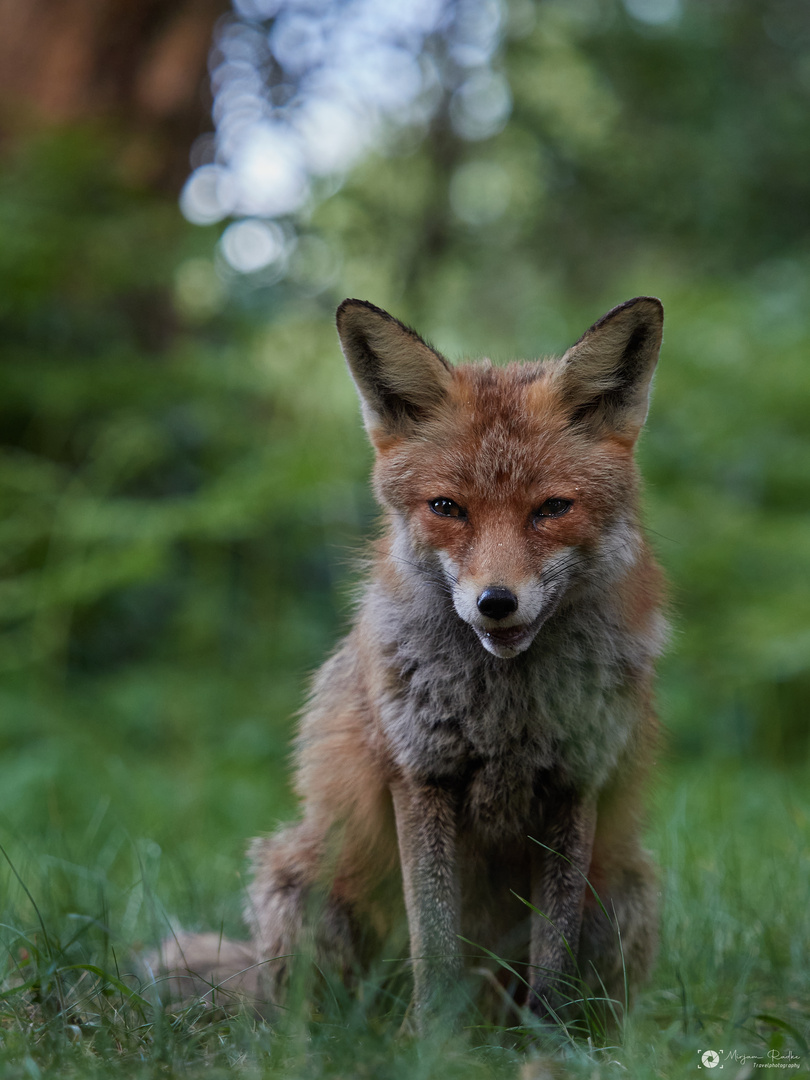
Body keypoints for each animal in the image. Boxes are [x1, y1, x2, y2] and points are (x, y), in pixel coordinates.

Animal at [151, 295, 665, 1028]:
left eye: (552, 509)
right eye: (447, 508)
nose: (496, 603)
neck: (504, 711)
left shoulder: (575, 785)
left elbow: (552, 955)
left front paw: (548, 1041)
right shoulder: (418, 776)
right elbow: (435, 940)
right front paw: (431, 1038)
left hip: (627, 887)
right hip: (301, 884)